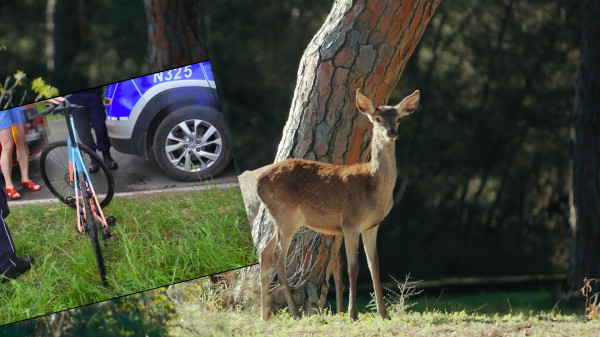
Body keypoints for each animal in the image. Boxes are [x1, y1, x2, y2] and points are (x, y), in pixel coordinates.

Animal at [251, 88, 420, 318]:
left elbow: (374, 265)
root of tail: (258, 181)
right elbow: (353, 268)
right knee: (278, 257)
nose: (391, 133)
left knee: (265, 253)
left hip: (287, 219)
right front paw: (352, 314)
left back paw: (265, 315)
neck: (373, 188)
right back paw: (295, 311)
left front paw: (384, 314)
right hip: (285, 215)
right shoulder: (350, 223)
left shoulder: (372, 226)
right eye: (377, 119)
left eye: (398, 119)